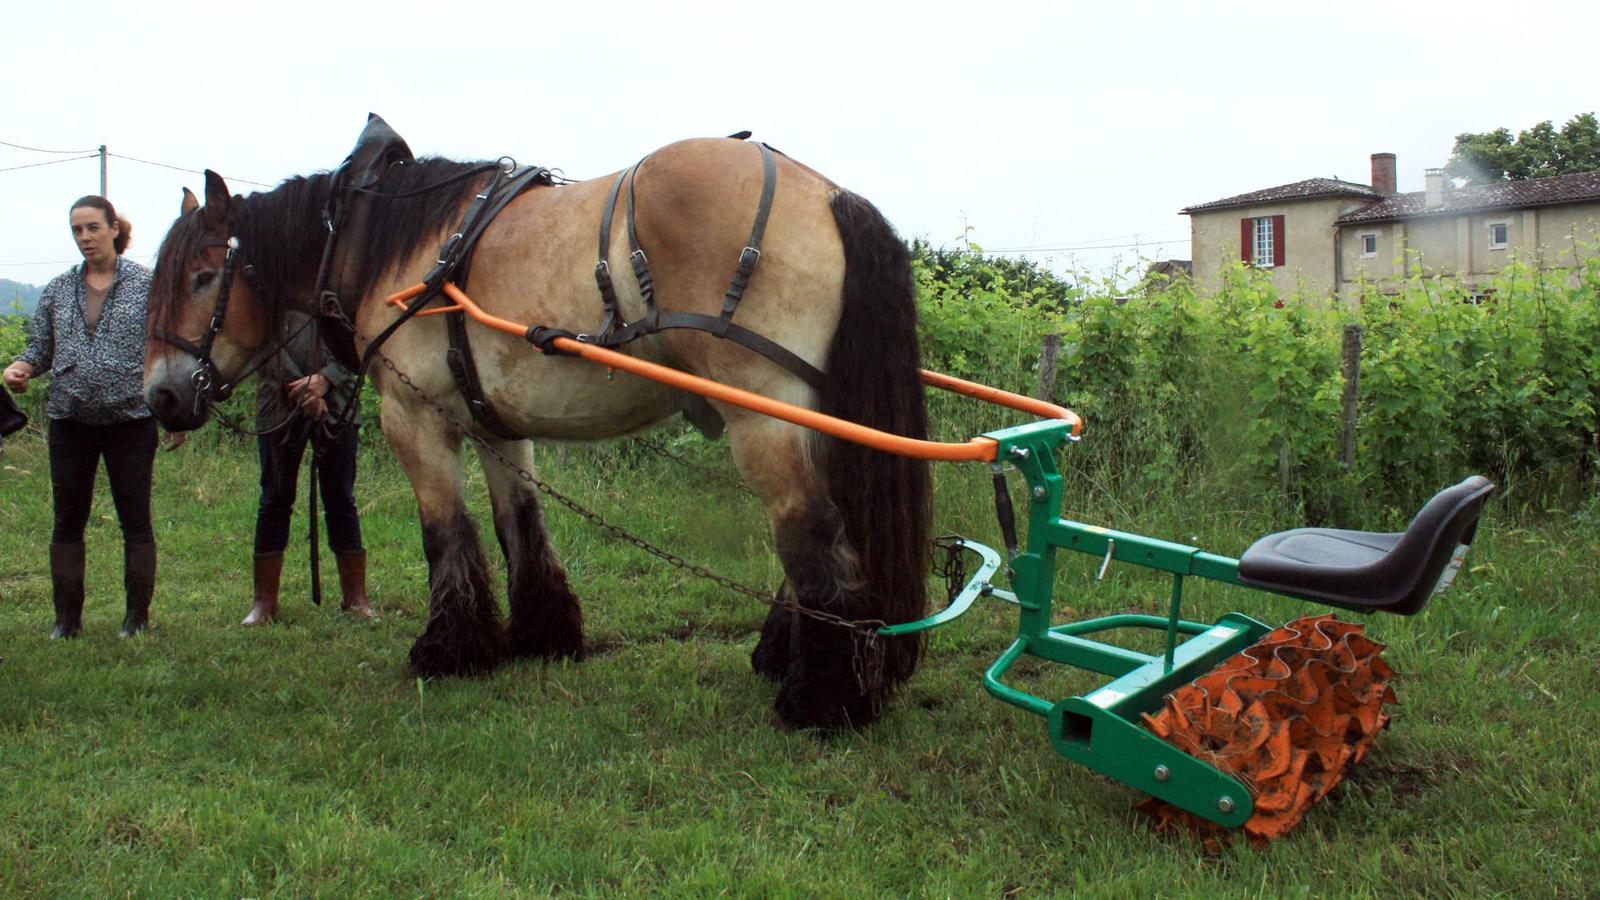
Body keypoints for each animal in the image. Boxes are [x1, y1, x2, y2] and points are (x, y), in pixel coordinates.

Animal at [142, 133, 932, 731]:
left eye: (203, 276)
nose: (161, 396)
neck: (388, 245)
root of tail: (827, 194)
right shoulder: (498, 422)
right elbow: (518, 522)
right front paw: (540, 634)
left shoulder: (413, 417)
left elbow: (446, 531)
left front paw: (449, 648)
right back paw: (791, 656)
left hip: (766, 414)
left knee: (813, 536)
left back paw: (820, 696)